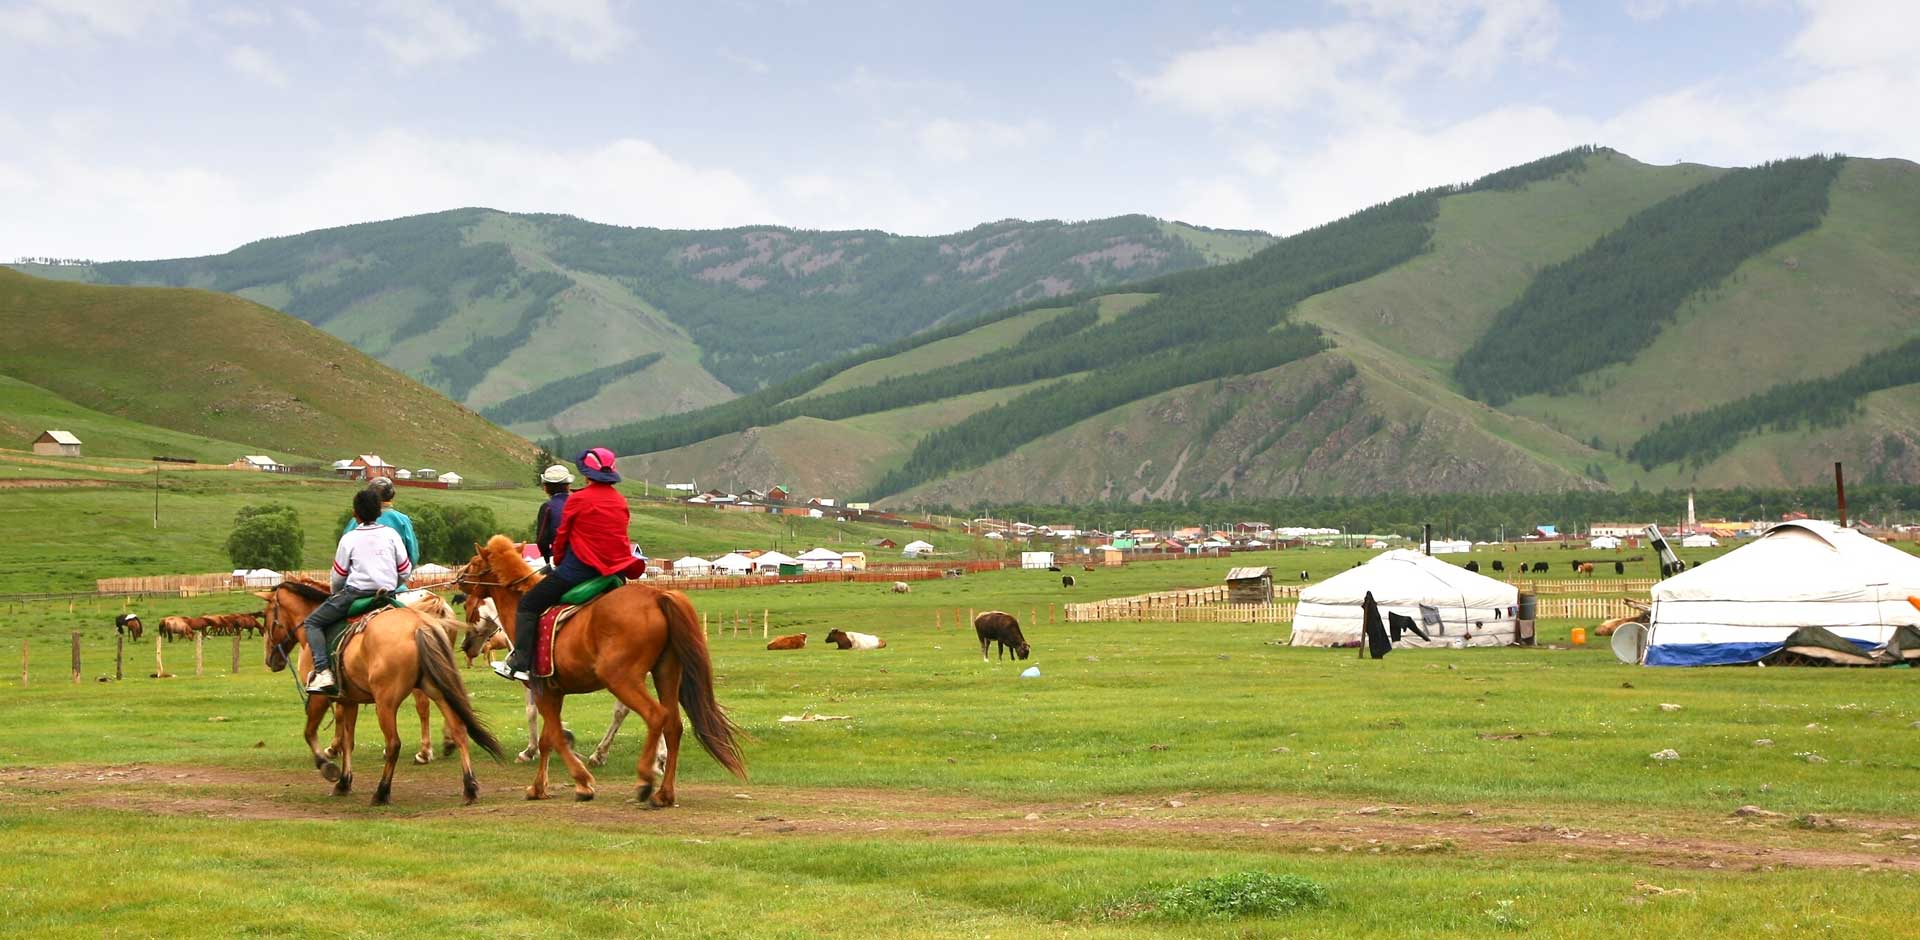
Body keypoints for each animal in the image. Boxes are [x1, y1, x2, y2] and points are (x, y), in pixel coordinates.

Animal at [259, 575, 506, 805]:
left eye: (267, 615)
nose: (270, 660)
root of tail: (420, 625)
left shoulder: (320, 697)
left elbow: (310, 733)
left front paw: (328, 765)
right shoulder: (349, 699)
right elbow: (348, 739)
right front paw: (344, 781)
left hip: (386, 703)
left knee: (396, 741)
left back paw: (384, 789)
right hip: (437, 687)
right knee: (459, 729)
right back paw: (468, 785)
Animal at [455, 533, 741, 805]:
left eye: (474, 562)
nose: (458, 578)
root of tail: (658, 596)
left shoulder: (539, 688)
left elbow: (550, 732)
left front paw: (580, 781)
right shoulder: (554, 691)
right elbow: (549, 737)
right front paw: (539, 786)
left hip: (621, 679)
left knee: (653, 715)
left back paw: (643, 778)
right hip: (665, 674)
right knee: (672, 724)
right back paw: (663, 791)